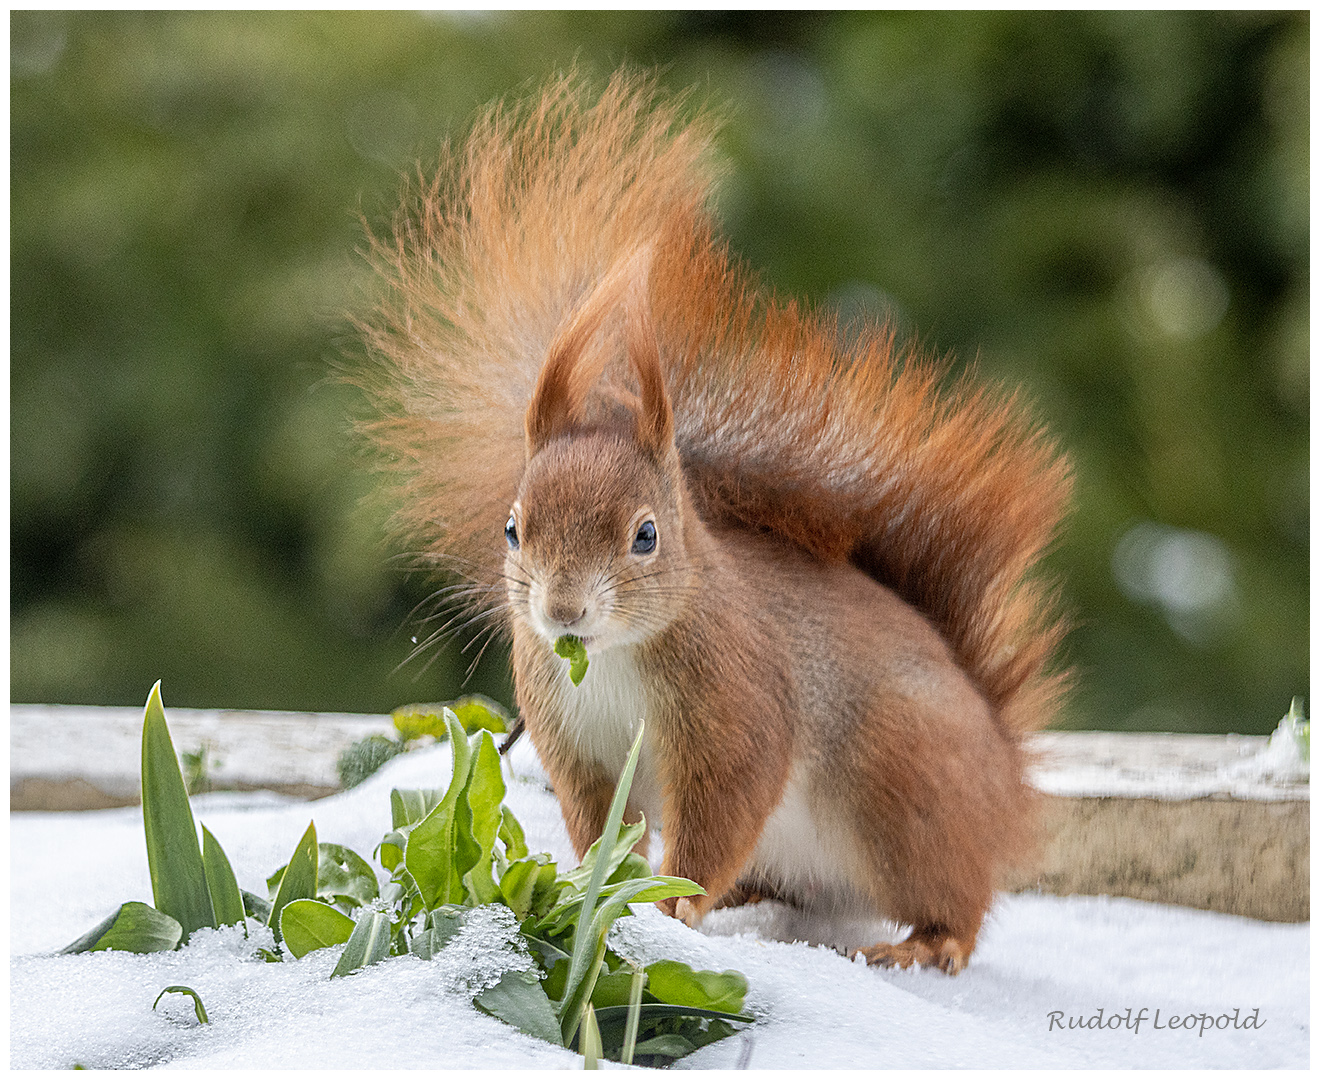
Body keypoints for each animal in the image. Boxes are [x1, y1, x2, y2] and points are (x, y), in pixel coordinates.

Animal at [361, 71, 1071, 971]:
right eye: (512, 529)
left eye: (646, 535)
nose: (562, 613)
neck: (615, 657)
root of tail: (1004, 777)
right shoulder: (576, 742)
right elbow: (600, 822)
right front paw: (599, 884)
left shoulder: (736, 711)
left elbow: (723, 809)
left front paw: (674, 905)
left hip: (902, 786)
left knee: (957, 896)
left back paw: (926, 941)